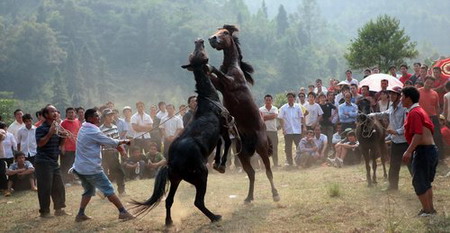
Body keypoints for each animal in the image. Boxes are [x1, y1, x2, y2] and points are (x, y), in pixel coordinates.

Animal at [132, 39, 227, 225]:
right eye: (200, 54)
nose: (199, 40)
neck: (208, 100)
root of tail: (171, 162)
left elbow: (220, 144)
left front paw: (218, 162)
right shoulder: (225, 125)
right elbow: (226, 142)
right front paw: (220, 164)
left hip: (176, 179)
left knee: (169, 200)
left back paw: (169, 221)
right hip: (200, 175)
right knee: (198, 201)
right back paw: (214, 217)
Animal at [209, 25, 280, 203]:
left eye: (224, 33)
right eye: (216, 30)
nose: (212, 39)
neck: (232, 66)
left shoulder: (230, 83)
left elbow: (217, 73)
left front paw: (208, 65)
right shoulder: (219, 85)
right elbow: (213, 77)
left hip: (262, 149)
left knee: (268, 171)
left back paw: (275, 194)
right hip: (242, 155)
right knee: (252, 173)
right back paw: (249, 198)